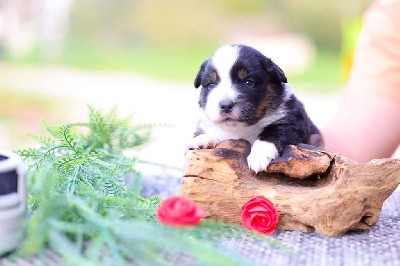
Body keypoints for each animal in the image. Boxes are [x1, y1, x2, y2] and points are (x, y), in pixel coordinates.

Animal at [187, 44, 322, 172]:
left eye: (248, 82)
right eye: (210, 84)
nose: (225, 105)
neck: (241, 128)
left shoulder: (292, 123)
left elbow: (271, 135)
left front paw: (258, 157)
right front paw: (200, 139)